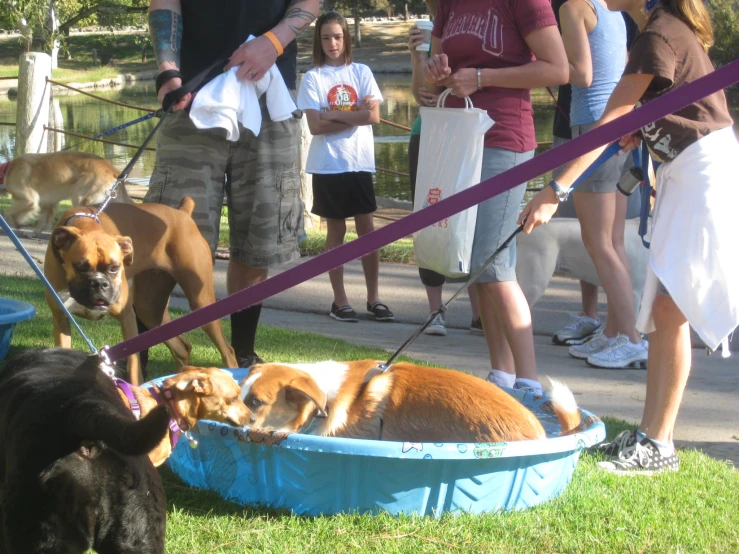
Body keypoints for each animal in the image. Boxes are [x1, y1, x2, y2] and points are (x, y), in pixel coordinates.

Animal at [43, 196, 238, 382]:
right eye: (80, 267)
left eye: (115, 267)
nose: (99, 283)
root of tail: (182, 212)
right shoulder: (61, 319)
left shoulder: (127, 318)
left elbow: (134, 367)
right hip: (149, 309)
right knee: (182, 348)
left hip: (201, 303)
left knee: (228, 352)